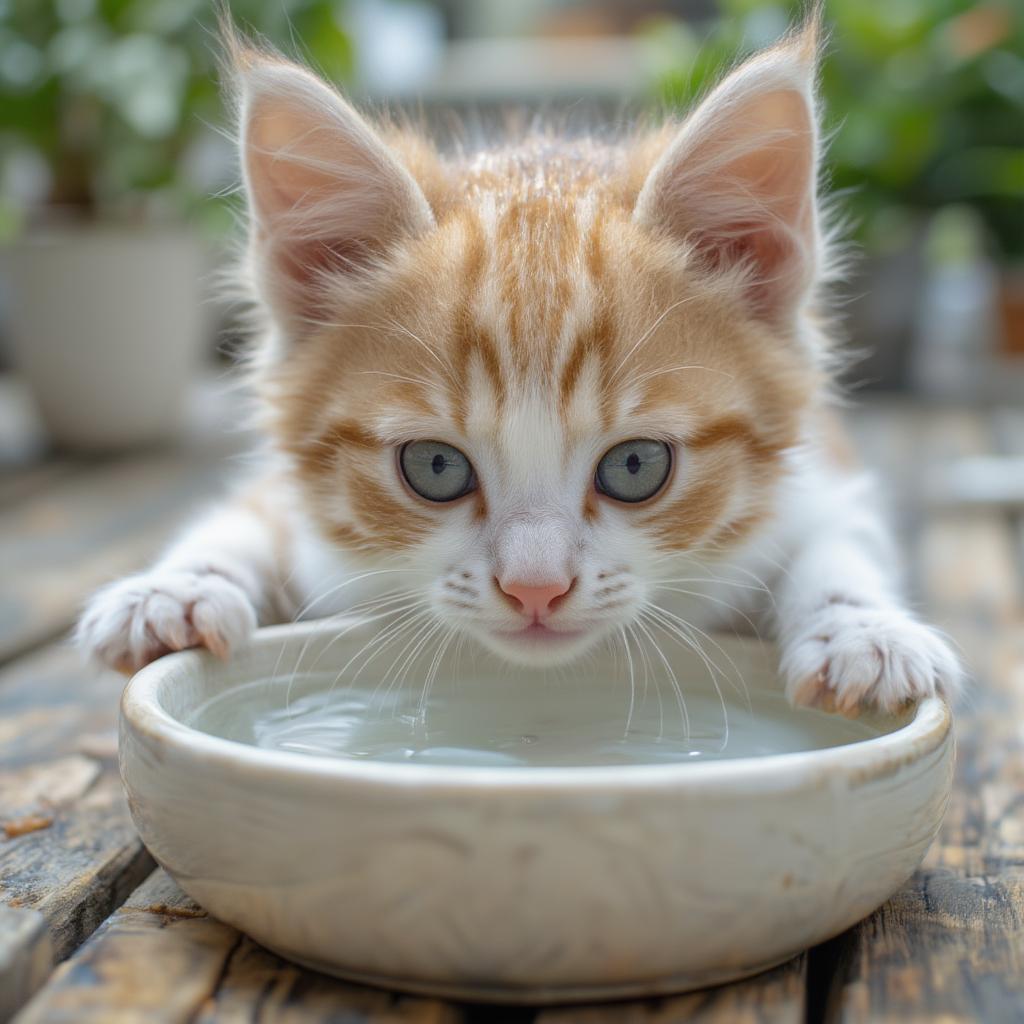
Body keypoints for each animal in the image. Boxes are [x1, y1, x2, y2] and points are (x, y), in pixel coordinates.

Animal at [77, 18, 958, 720]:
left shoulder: (820, 469)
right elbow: (252, 513)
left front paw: (860, 628)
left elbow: (837, 536)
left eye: (637, 466)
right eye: (434, 467)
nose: (536, 589)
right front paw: (177, 588)